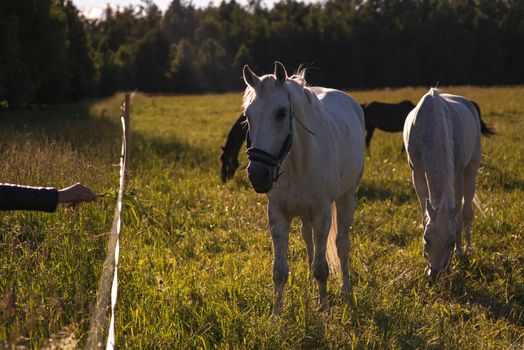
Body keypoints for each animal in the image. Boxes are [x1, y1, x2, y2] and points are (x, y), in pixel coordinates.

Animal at [242, 60, 364, 312]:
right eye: (248, 115)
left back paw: (346, 291)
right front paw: (277, 314)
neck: (297, 162)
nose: (257, 175)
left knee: (342, 244)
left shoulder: (322, 214)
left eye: (281, 113)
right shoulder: (278, 214)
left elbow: (322, 268)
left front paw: (324, 310)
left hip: (346, 198)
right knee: (308, 239)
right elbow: (279, 271)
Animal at [404, 88, 482, 282]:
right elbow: (424, 213)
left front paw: (460, 253)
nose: (434, 275)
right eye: (426, 238)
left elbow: (458, 218)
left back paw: (469, 249)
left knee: (467, 213)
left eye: (451, 242)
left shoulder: (457, 176)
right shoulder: (417, 172)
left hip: (471, 169)